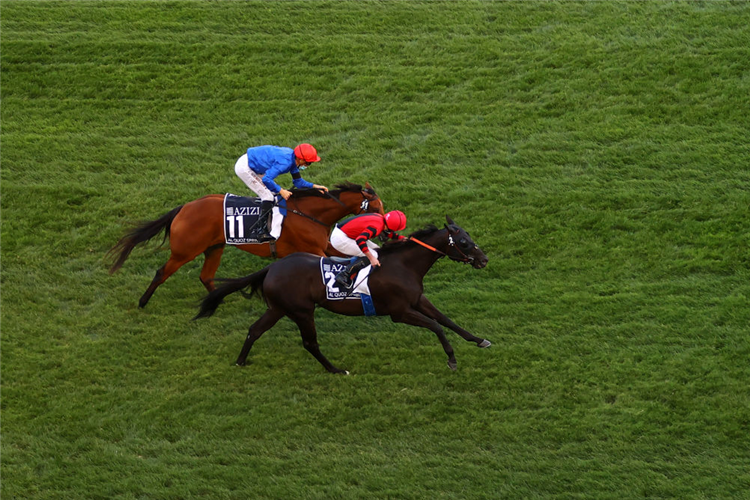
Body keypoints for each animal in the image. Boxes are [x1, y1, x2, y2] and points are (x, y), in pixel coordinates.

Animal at [108, 184, 384, 308]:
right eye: (377, 206)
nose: (385, 226)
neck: (309, 213)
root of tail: (183, 208)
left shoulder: (325, 246)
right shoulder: (313, 250)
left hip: (215, 247)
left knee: (206, 276)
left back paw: (219, 299)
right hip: (185, 250)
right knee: (162, 273)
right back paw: (143, 302)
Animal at [194, 216, 494, 376]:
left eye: (470, 237)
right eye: (464, 242)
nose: (484, 260)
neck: (404, 265)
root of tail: (273, 267)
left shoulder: (417, 300)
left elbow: (446, 320)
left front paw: (480, 340)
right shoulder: (399, 312)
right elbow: (435, 326)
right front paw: (452, 359)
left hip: (278, 309)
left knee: (255, 330)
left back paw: (241, 361)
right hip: (302, 311)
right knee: (309, 343)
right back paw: (336, 370)